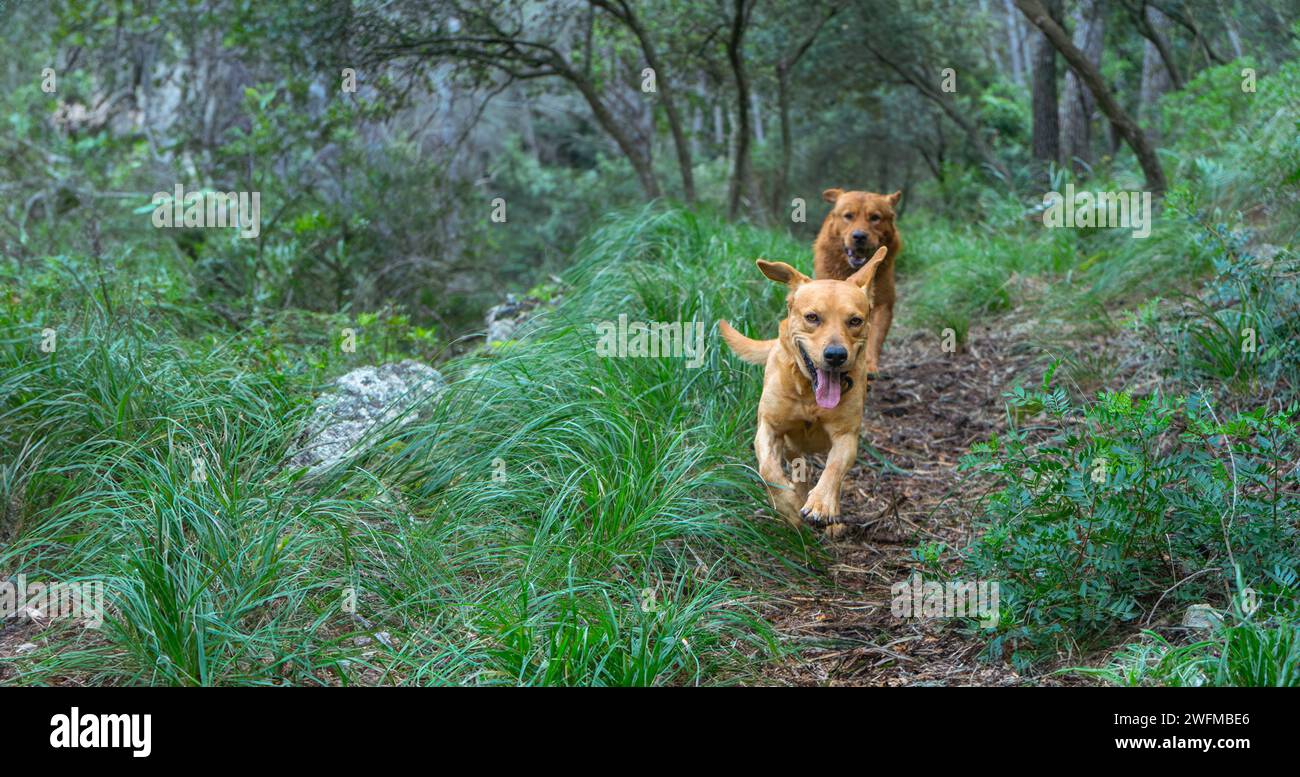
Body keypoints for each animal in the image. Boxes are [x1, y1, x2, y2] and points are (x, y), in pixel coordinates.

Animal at [717, 249, 889, 530]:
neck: (809, 393)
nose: (835, 355)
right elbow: (768, 469)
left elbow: (834, 468)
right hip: (790, 444)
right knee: (798, 468)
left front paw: (822, 504)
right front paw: (787, 504)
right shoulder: (770, 427)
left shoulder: (846, 436)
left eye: (855, 321)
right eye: (812, 317)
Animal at [811, 185, 904, 374]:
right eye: (848, 216)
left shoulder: (881, 304)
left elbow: (874, 337)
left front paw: (868, 365)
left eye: (875, 217)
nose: (859, 236)